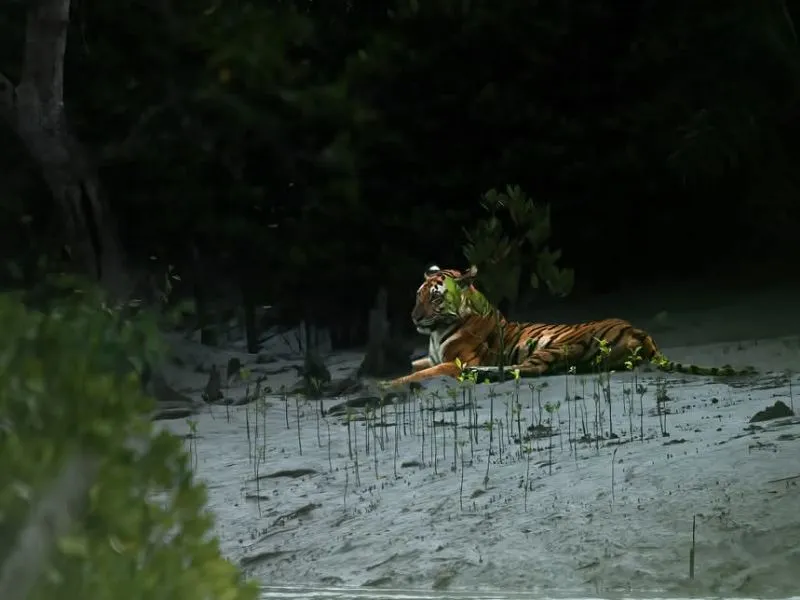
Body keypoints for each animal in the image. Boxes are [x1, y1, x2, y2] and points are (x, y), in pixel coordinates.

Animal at [387, 264, 756, 387]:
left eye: (435, 297)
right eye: (418, 295)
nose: (414, 318)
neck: (436, 333)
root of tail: (642, 332)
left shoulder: (456, 361)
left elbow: (420, 374)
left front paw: (387, 384)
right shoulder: (432, 355)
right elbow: (415, 364)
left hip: (557, 346)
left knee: (526, 370)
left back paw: (484, 374)